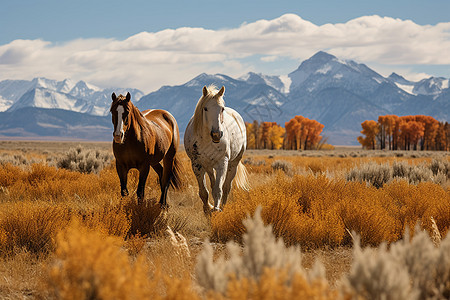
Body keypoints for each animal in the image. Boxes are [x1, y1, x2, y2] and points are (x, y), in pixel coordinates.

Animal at [184, 84, 250, 213]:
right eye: (205, 108)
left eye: (222, 109)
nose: (216, 134)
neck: (206, 139)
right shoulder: (196, 165)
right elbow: (204, 192)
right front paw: (207, 210)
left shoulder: (222, 163)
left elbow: (218, 190)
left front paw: (216, 210)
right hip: (209, 167)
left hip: (233, 164)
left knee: (226, 187)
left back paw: (223, 207)